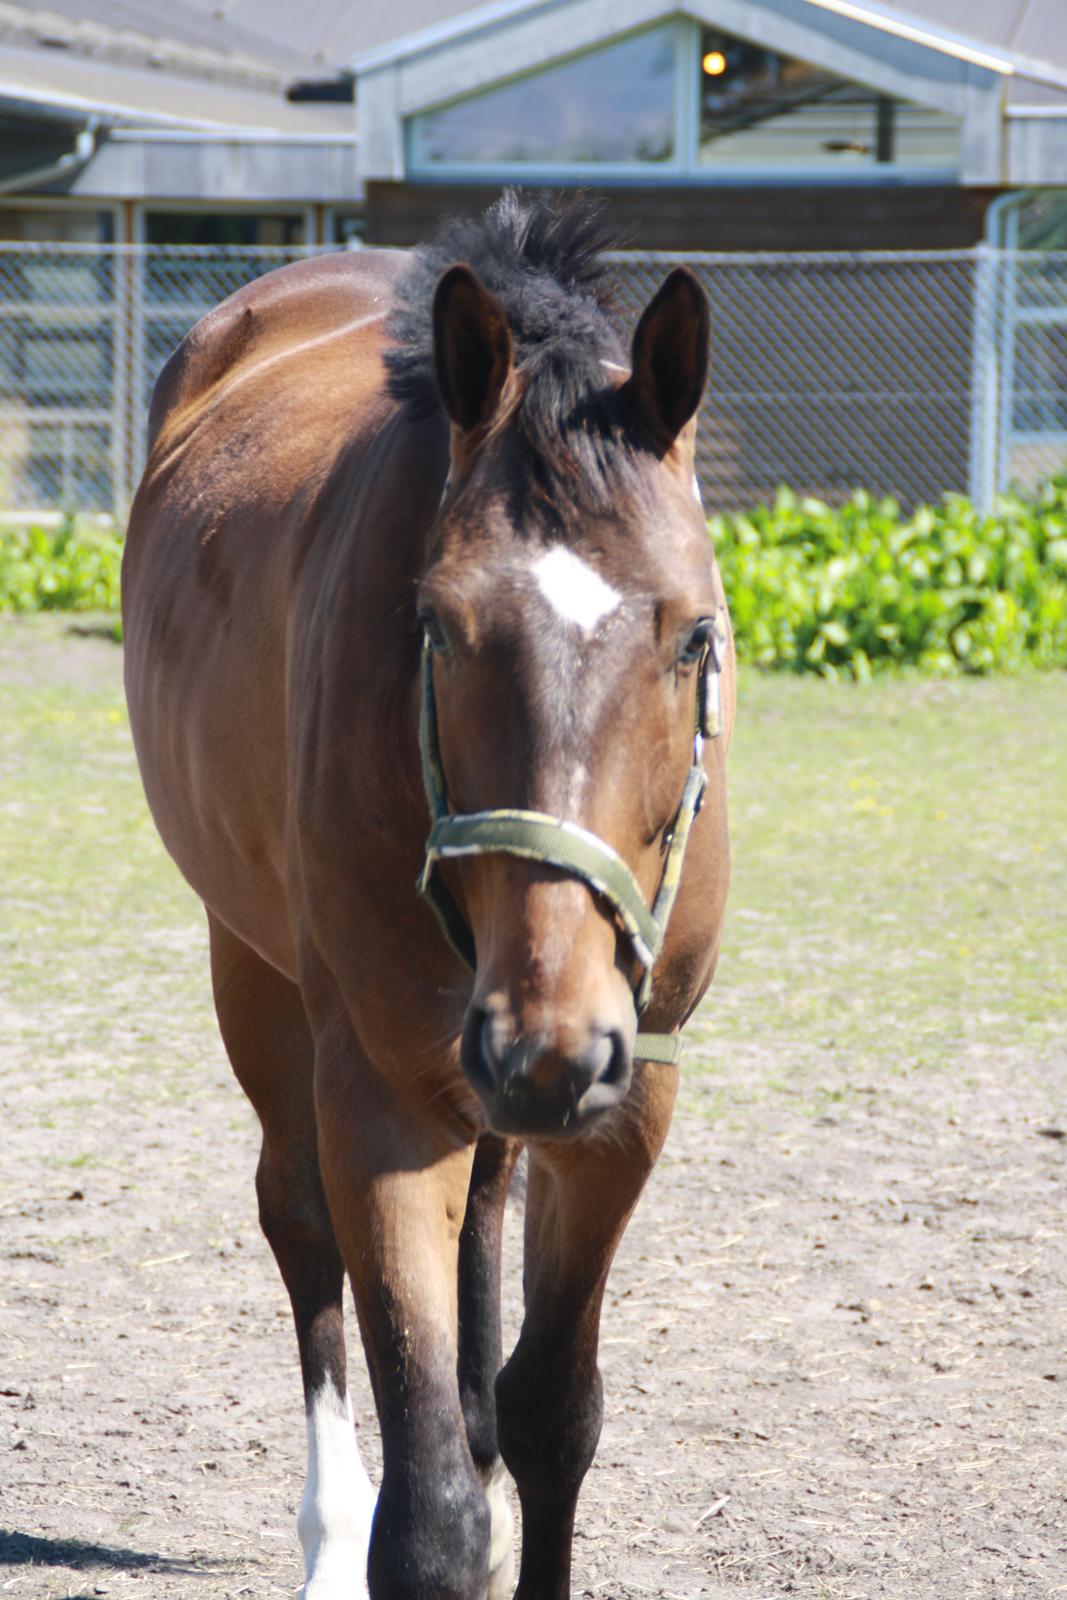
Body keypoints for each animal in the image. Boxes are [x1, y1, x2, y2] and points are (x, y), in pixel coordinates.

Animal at [123, 196, 735, 1600]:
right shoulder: (387, 1093)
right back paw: (326, 1532)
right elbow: (430, 1521)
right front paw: (414, 1513)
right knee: (300, 1227)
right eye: (440, 629)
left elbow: (553, 1412)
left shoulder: (630, 1094)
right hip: (257, 972)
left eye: (693, 637)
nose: (548, 1040)